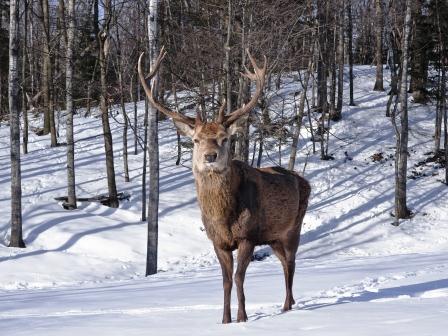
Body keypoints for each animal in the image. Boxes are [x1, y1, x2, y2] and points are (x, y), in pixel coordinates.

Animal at [138, 47, 310, 322]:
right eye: (196, 140)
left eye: (225, 138)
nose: (210, 156)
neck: (222, 216)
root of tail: (304, 181)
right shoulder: (217, 241)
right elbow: (226, 280)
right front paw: (225, 319)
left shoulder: (248, 235)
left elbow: (239, 277)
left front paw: (242, 317)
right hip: (272, 237)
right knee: (284, 262)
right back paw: (290, 303)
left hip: (293, 226)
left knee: (292, 263)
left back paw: (287, 306)